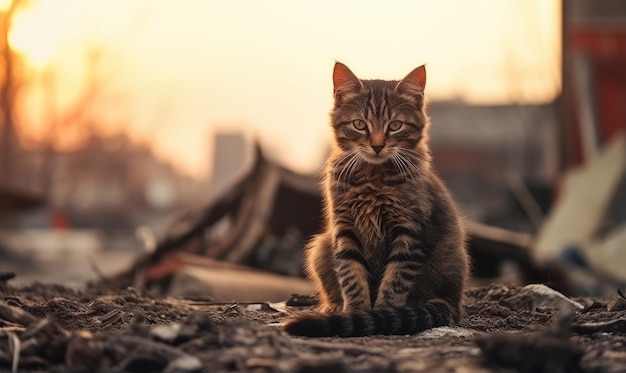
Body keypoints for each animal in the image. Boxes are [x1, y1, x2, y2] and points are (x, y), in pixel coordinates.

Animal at [282, 61, 468, 338]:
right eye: (360, 124)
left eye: (395, 125)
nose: (378, 145)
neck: (373, 176)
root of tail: (452, 303)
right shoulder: (345, 230)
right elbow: (351, 276)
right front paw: (355, 312)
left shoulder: (409, 234)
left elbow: (395, 281)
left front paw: (381, 315)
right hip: (321, 246)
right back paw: (333, 307)